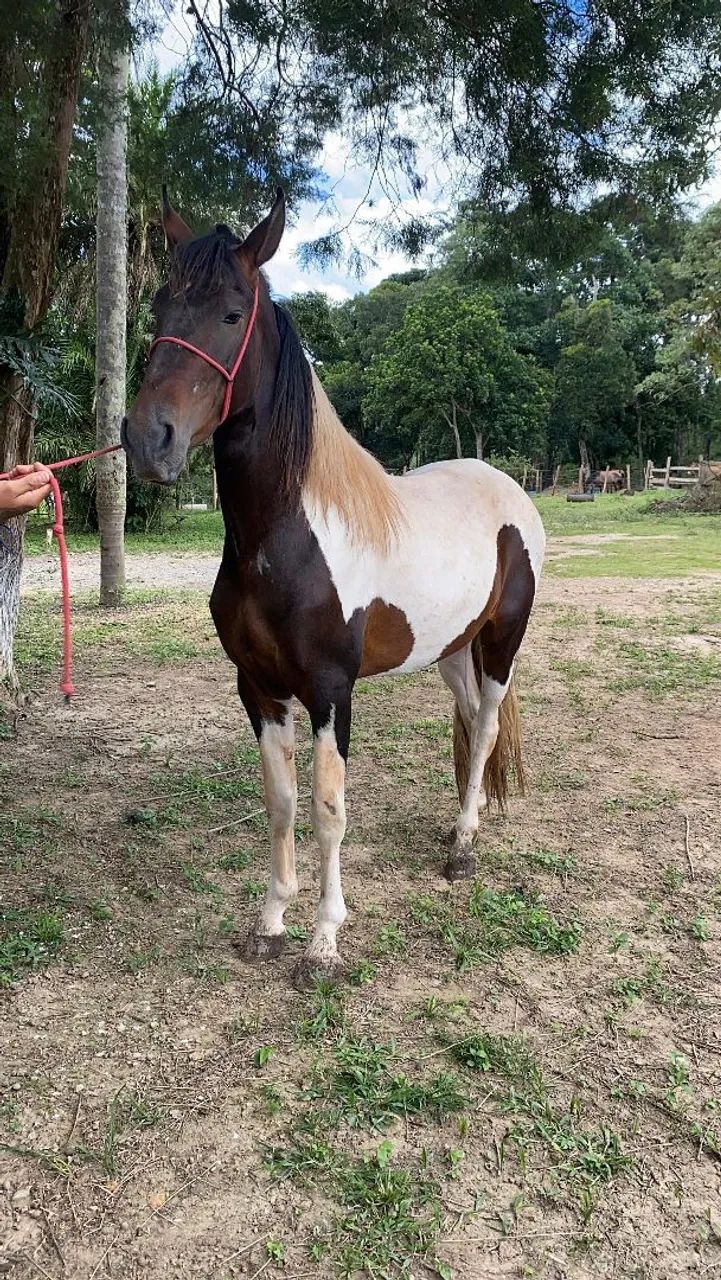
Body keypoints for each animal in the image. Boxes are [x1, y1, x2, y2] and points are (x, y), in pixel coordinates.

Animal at [121, 187, 546, 985]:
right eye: (159, 305)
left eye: (232, 312)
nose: (146, 439)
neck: (286, 539)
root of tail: (508, 487)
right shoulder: (258, 688)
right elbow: (282, 802)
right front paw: (270, 923)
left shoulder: (328, 691)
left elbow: (327, 809)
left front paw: (323, 941)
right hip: (450, 648)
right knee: (469, 718)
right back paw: (460, 824)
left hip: (502, 643)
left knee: (485, 730)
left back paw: (463, 847)